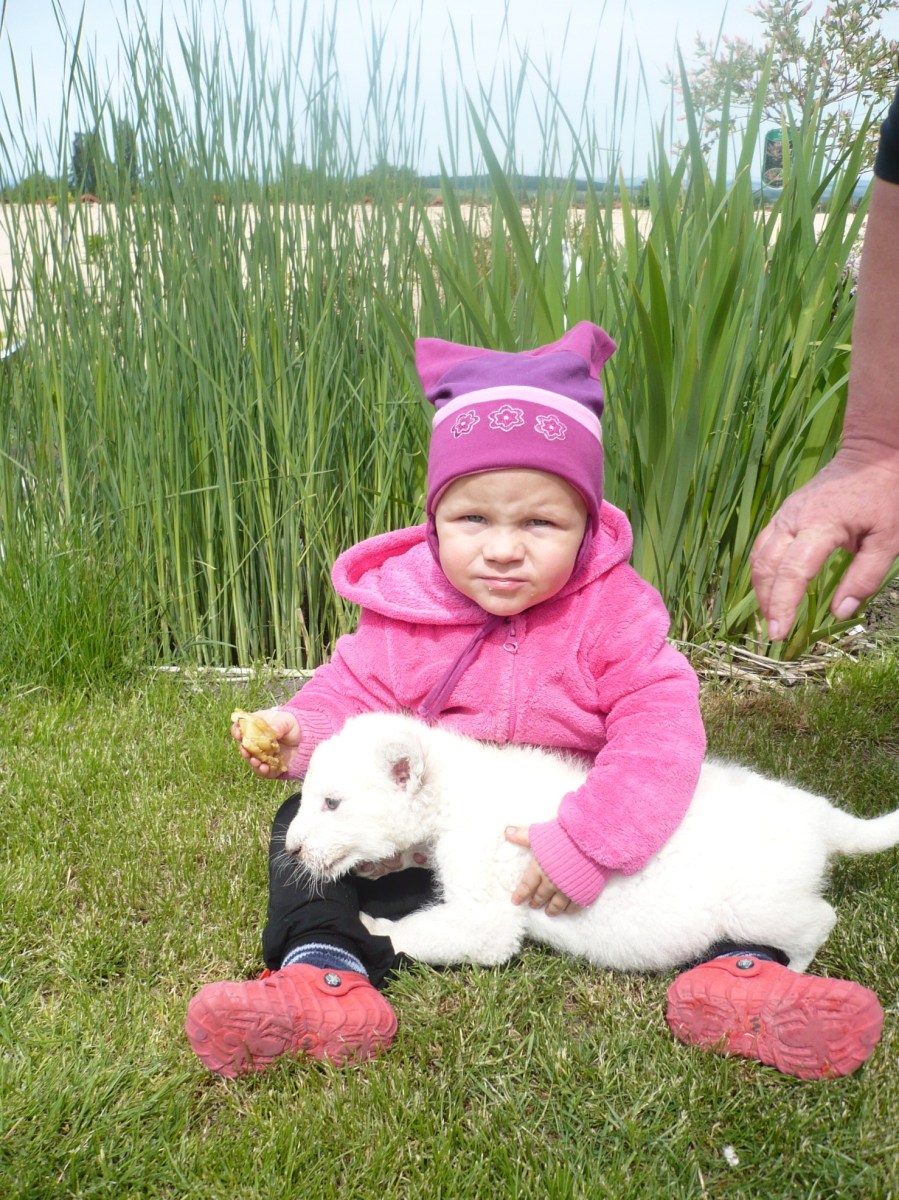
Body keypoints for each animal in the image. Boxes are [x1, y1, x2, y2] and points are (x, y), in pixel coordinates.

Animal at [284, 712, 899, 973]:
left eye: (331, 803)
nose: (289, 848)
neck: (457, 791)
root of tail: (818, 814)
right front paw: (383, 867)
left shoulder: (489, 915)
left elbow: (431, 930)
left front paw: (372, 927)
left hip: (759, 905)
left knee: (819, 921)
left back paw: (794, 971)